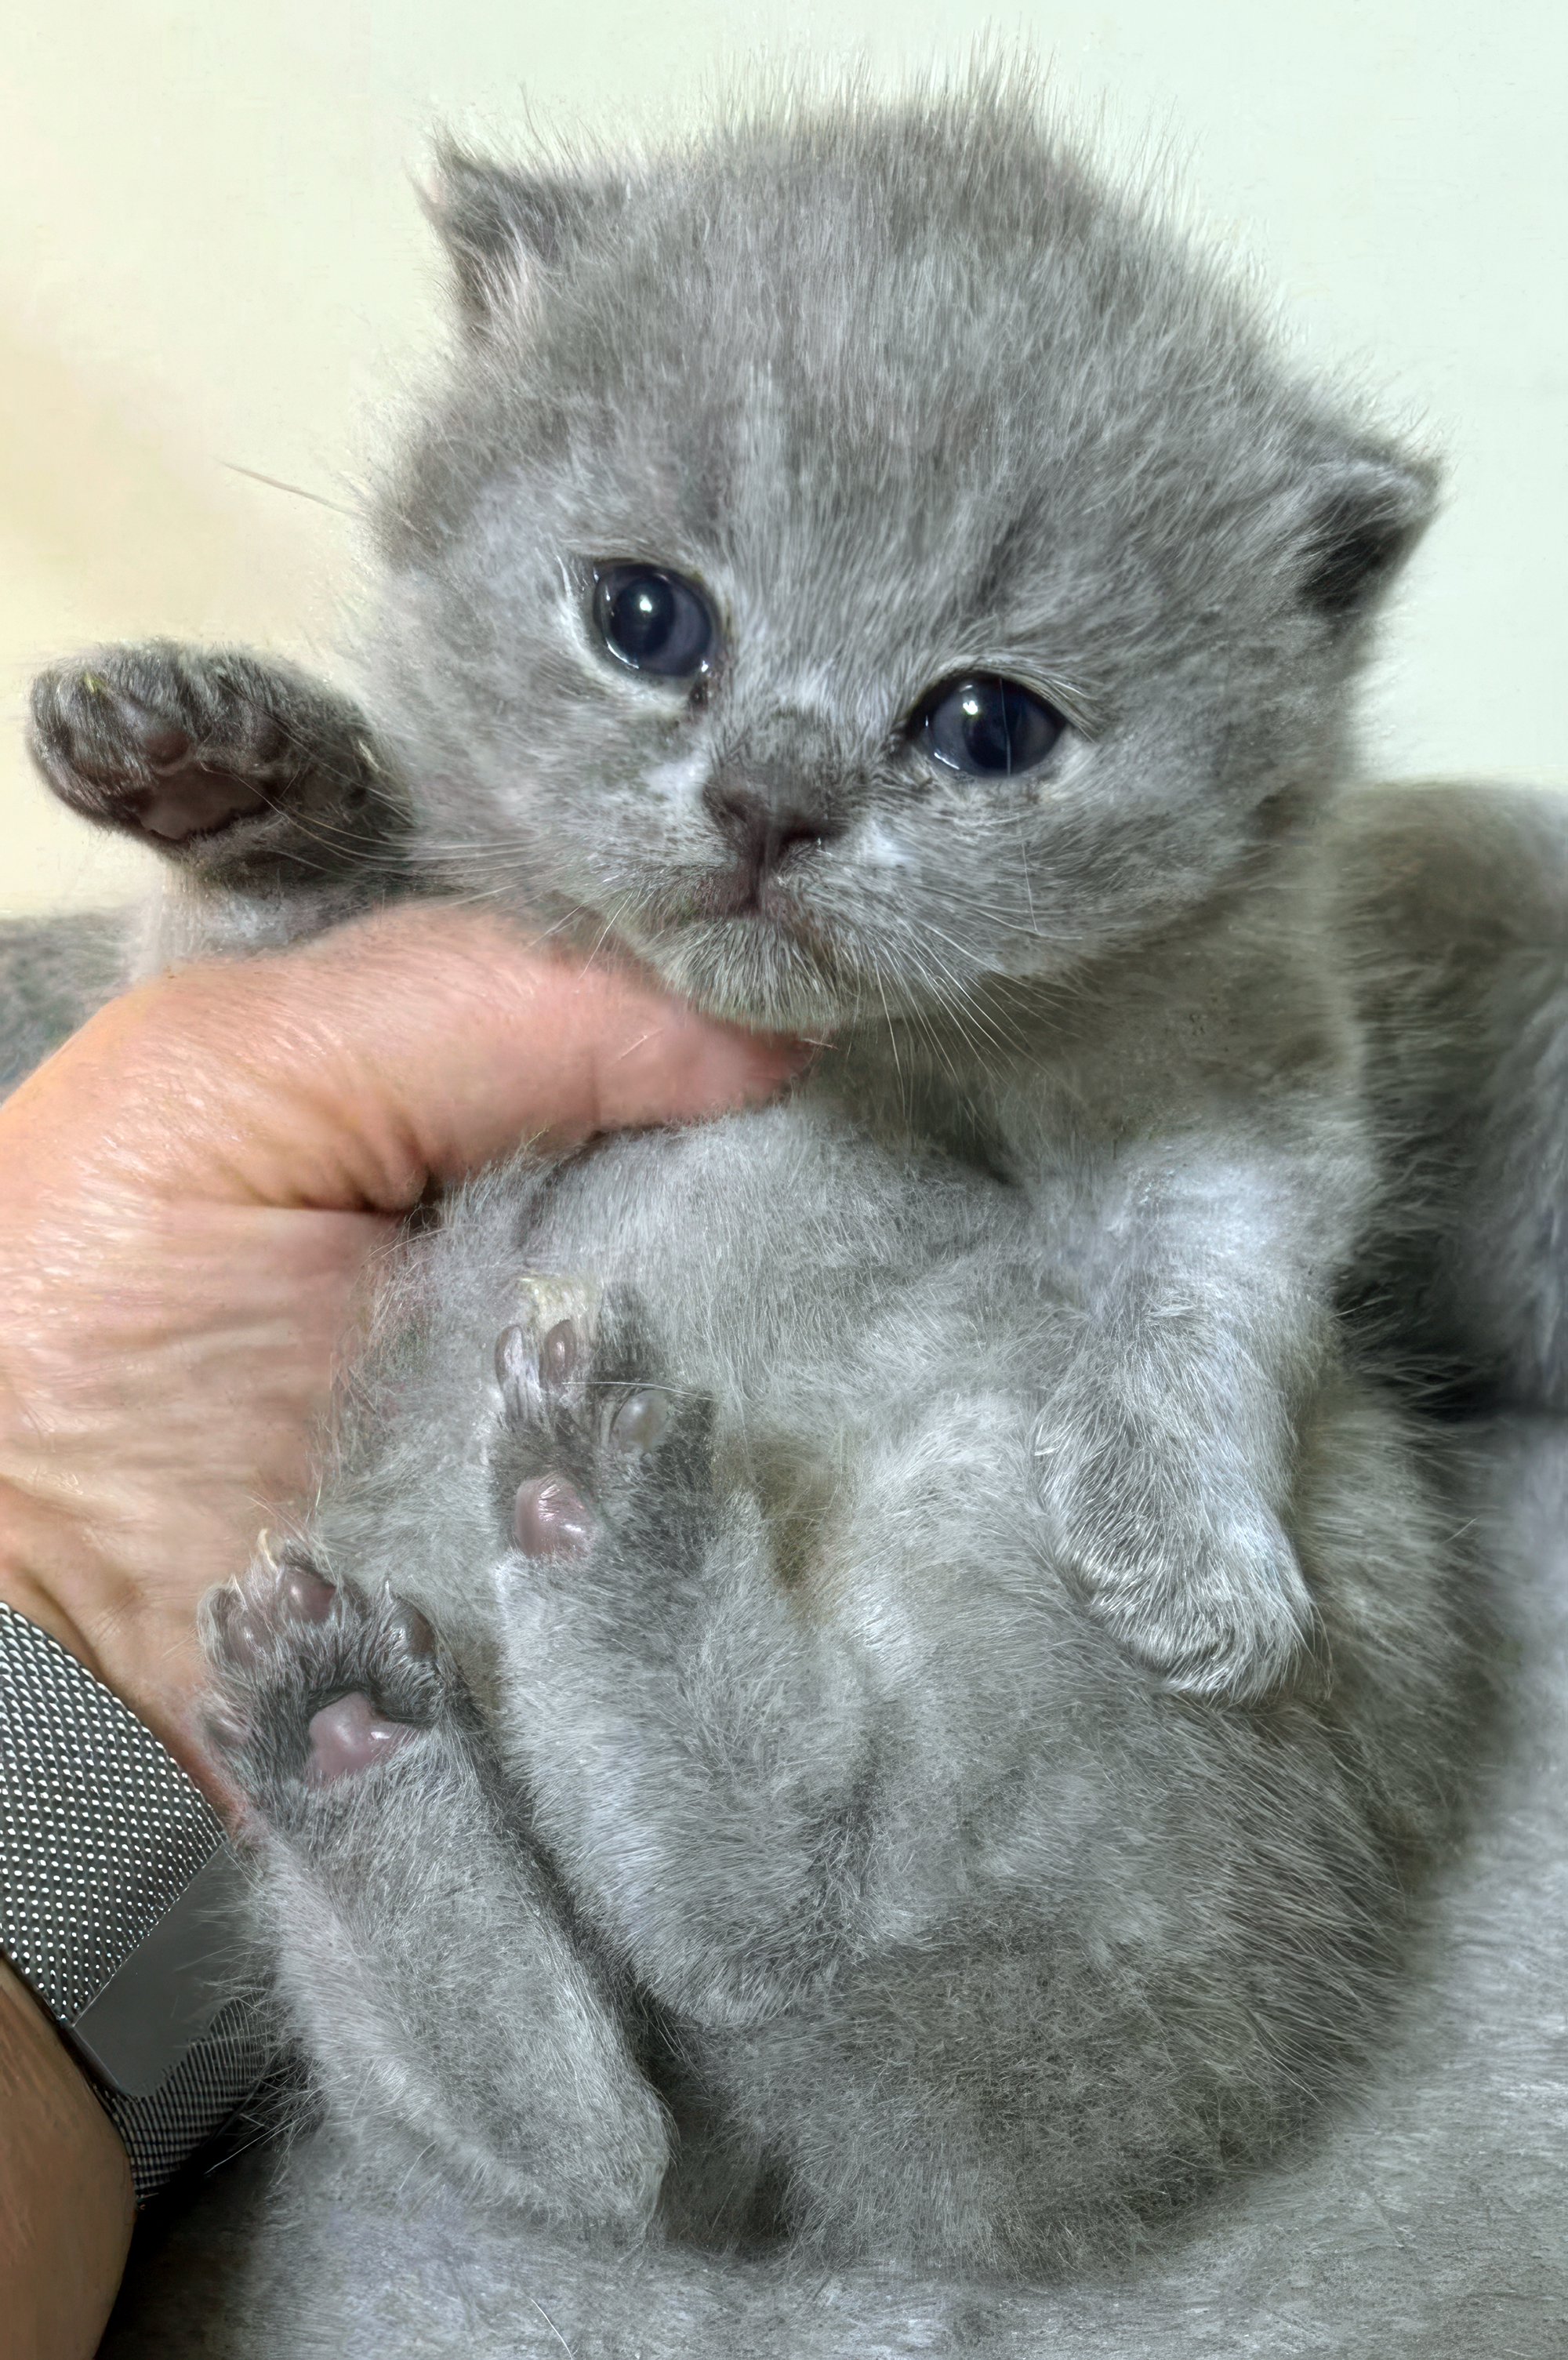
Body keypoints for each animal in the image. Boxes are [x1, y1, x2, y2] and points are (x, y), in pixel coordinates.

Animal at [15, 69, 1568, 2322]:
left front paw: (1186, 1547)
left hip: (987, 1500)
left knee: (764, 1937)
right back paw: (358, 1723)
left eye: (988, 723)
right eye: (647, 620)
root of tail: (870, 2152)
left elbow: (1216, 1266)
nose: (772, 794)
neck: (856, 1048)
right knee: (583, 2125)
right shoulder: (351, 1012)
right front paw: (231, 763)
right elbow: (255, 933)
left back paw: (595, 1532)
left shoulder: (1241, 1055)